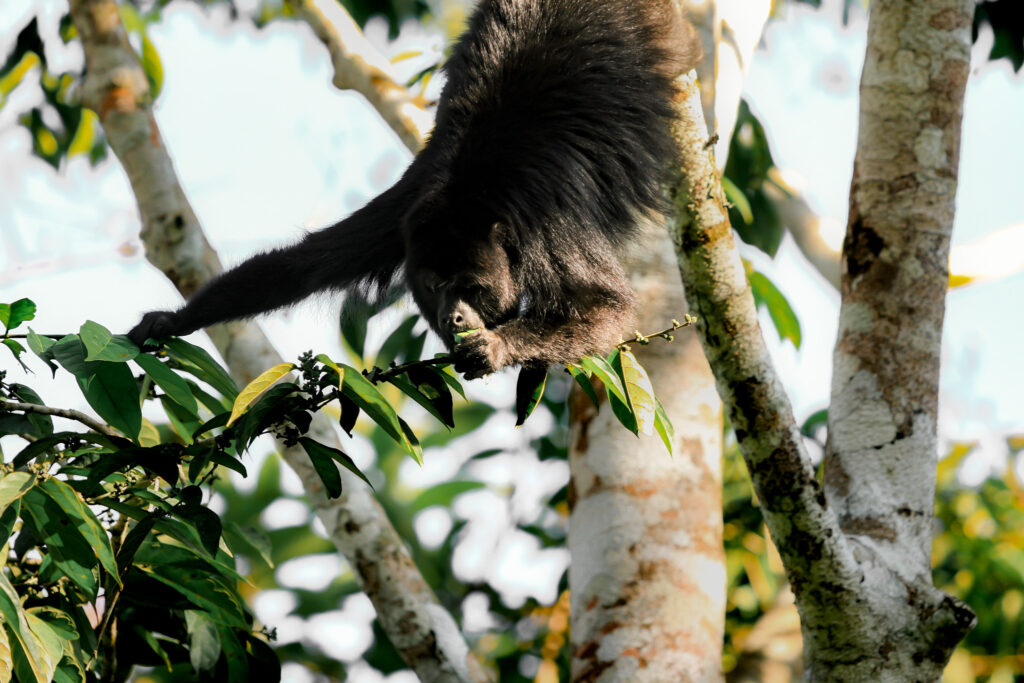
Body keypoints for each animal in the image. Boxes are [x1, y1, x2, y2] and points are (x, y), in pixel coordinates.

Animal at [129, 0, 702, 379]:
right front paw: (174, 319)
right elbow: (299, 268)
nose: (455, 317)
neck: (474, 197)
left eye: (472, 286)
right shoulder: (401, 218)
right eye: (434, 284)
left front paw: (494, 348)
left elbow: (605, 308)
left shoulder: (551, 229)